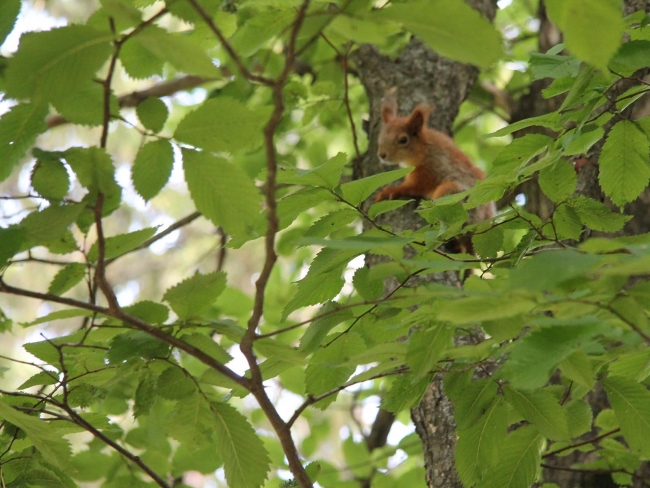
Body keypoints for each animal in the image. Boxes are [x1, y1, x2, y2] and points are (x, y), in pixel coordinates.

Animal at [372, 96, 494, 225]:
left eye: (403, 140)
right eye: (380, 136)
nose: (382, 155)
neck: (423, 148)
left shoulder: (430, 169)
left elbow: (414, 186)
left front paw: (391, 190)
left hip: (454, 194)